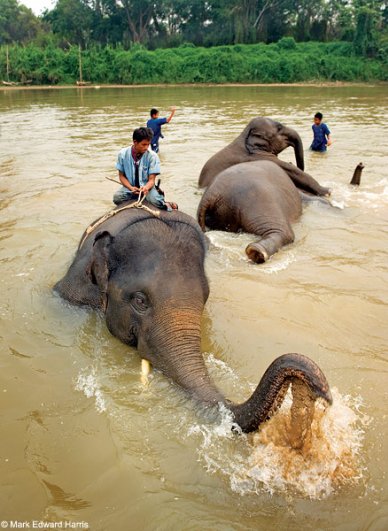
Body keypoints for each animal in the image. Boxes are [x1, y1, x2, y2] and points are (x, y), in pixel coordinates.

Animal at [200, 116, 330, 197]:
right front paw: (327, 191)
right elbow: (292, 170)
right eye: (279, 128)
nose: (294, 162)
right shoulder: (259, 156)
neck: (244, 135)